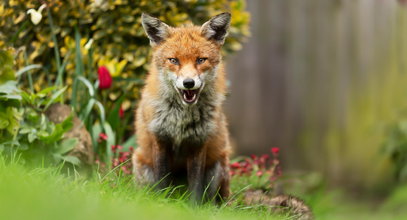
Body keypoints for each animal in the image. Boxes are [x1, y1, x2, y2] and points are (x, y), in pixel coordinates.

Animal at [131, 12, 233, 203]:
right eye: (174, 60)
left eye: (200, 60)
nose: (188, 83)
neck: (181, 117)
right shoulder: (160, 138)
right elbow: (161, 181)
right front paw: (160, 203)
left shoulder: (199, 141)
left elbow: (196, 187)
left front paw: (193, 207)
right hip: (142, 164)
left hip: (217, 168)